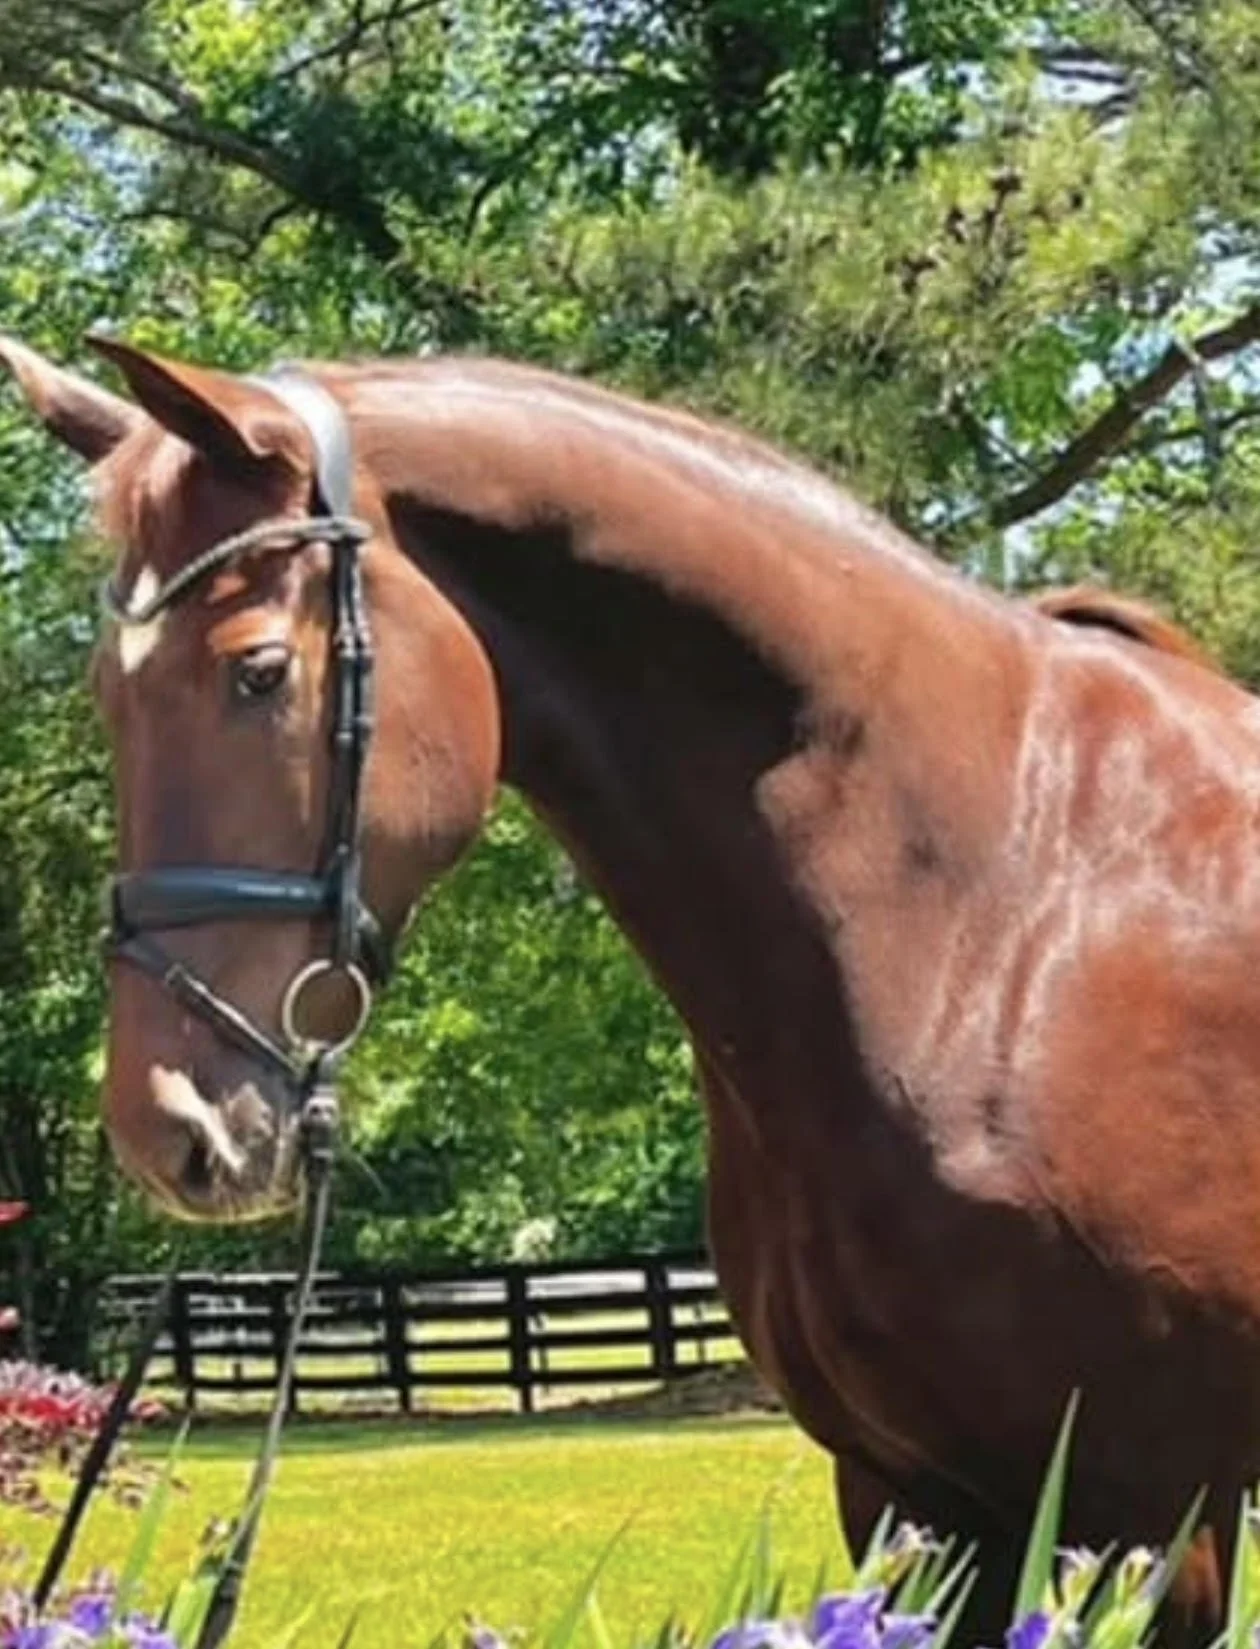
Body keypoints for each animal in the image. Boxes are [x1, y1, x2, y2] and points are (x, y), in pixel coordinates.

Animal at [4, 332, 1260, 1643]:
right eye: (106, 695)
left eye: (254, 671)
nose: (165, 1125)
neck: (1006, 906)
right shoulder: (912, 1492)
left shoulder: (1151, 1499)